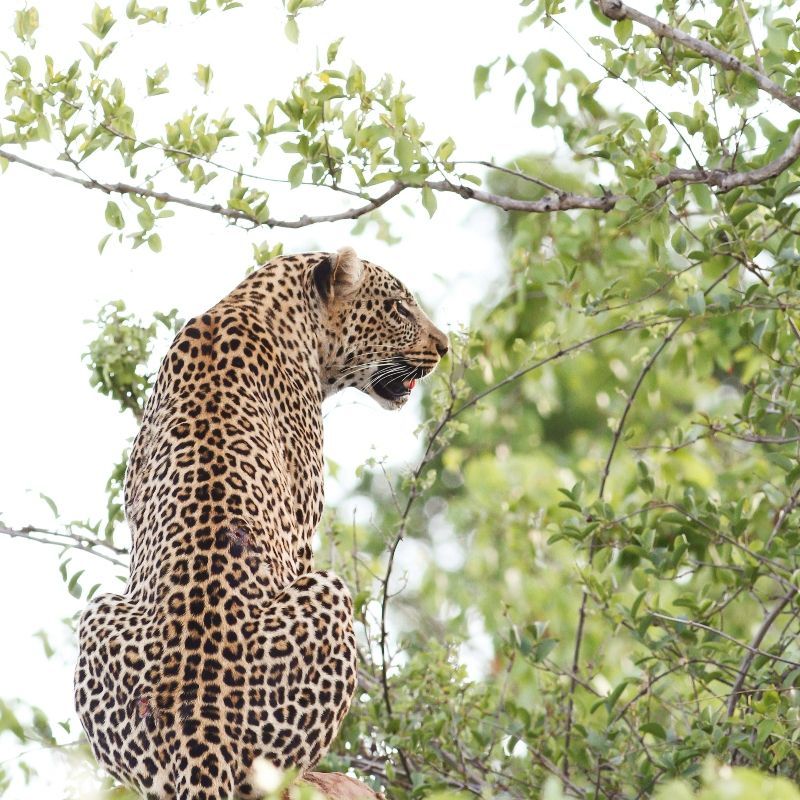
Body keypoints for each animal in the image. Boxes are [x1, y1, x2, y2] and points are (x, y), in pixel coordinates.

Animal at [74, 247, 449, 800]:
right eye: (400, 309)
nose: (445, 347)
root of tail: (201, 728)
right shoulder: (302, 527)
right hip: (330, 590)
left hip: (98, 613)